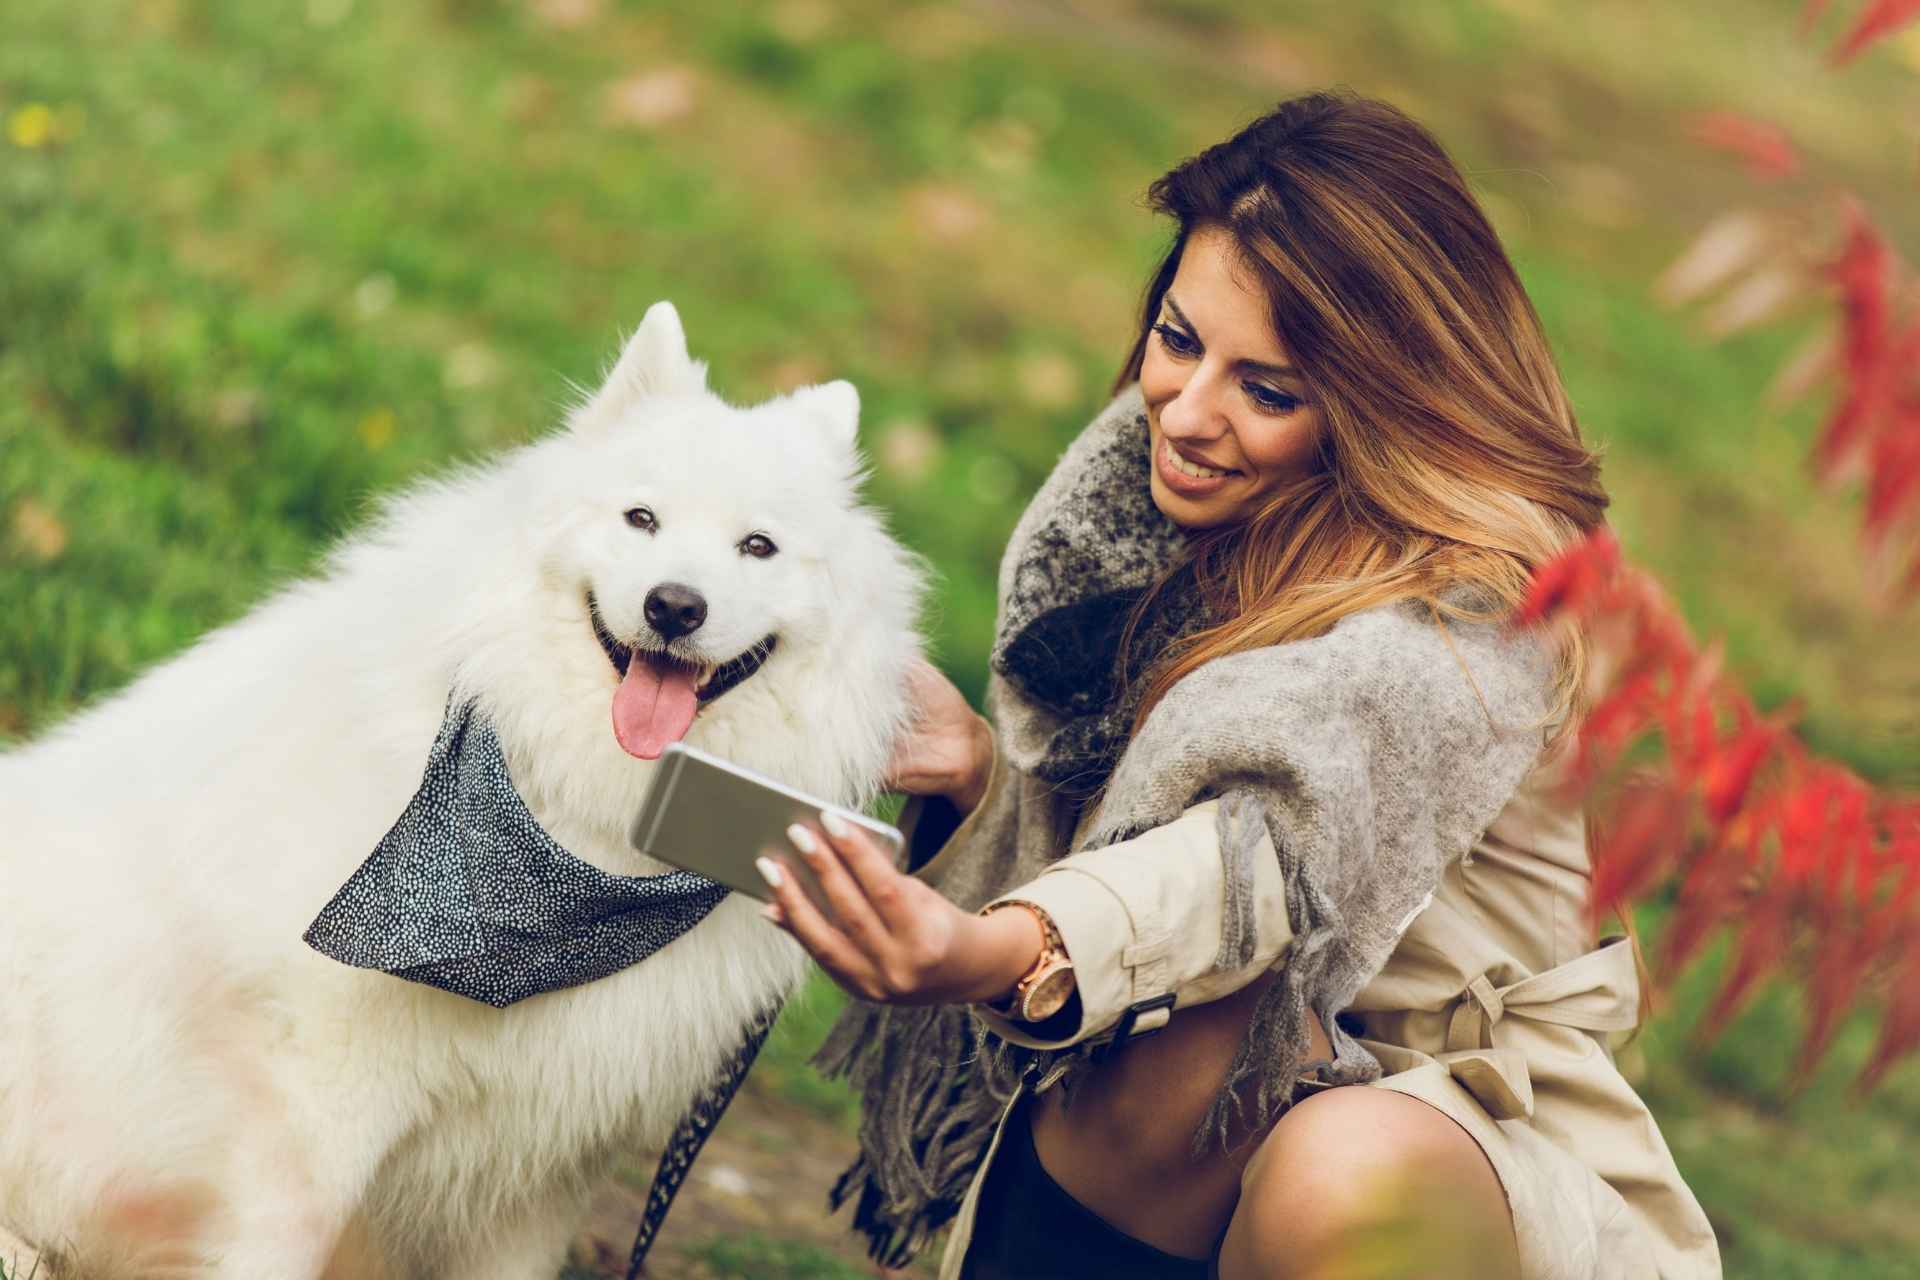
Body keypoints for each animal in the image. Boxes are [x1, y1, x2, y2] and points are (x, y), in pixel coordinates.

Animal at [0, 305, 929, 1274]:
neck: (576, 821)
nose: (675, 606)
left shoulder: (548, 1160)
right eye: (641, 518)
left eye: (759, 547)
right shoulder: (320, 1105)